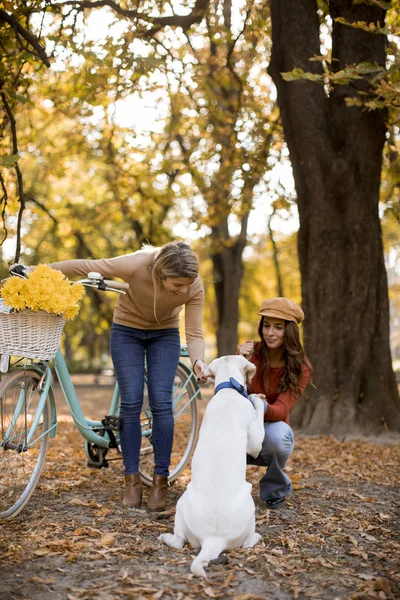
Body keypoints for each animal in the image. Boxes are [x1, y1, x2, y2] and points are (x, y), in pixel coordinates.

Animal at [158, 354, 268, 580]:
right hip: (249, 504)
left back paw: (165, 537)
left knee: (179, 541)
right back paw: (256, 537)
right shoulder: (255, 443)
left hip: (182, 506)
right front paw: (257, 399)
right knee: (247, 543)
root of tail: (213, 539)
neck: (229, 389)